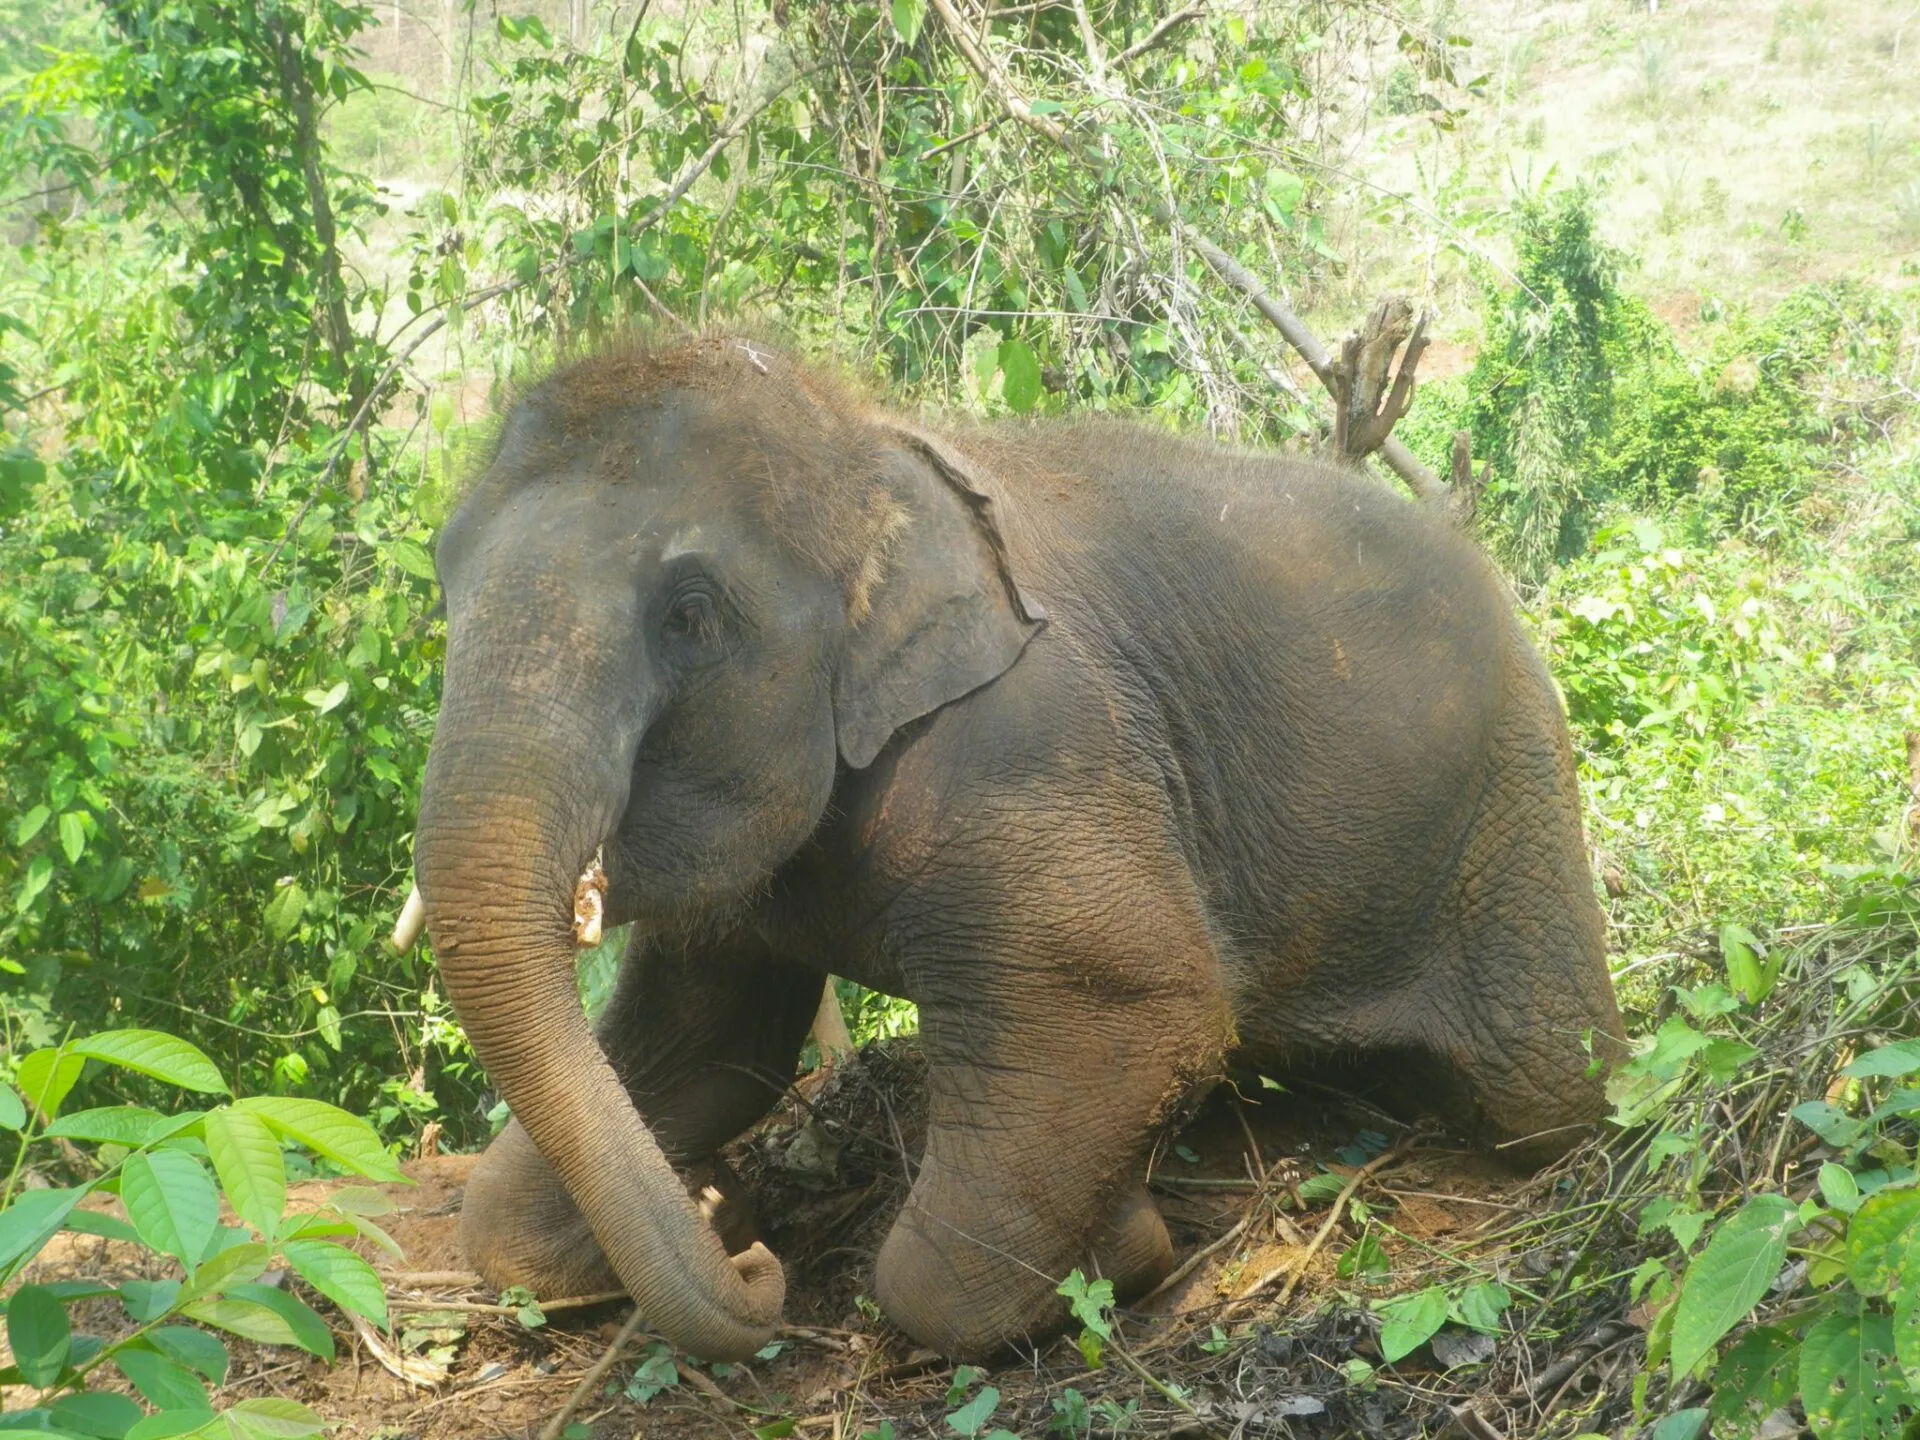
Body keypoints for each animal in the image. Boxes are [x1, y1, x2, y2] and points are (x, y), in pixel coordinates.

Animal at [411, 332, 1626, 1364]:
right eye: (443, 571)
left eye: (690, 613)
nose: (744, 1245)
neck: (866, 449)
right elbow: (708, 1045)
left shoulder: (1038, 739)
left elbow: (1134, 1003)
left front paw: (1130, 1248)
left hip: (1515, 784)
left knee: (1551, 1095)